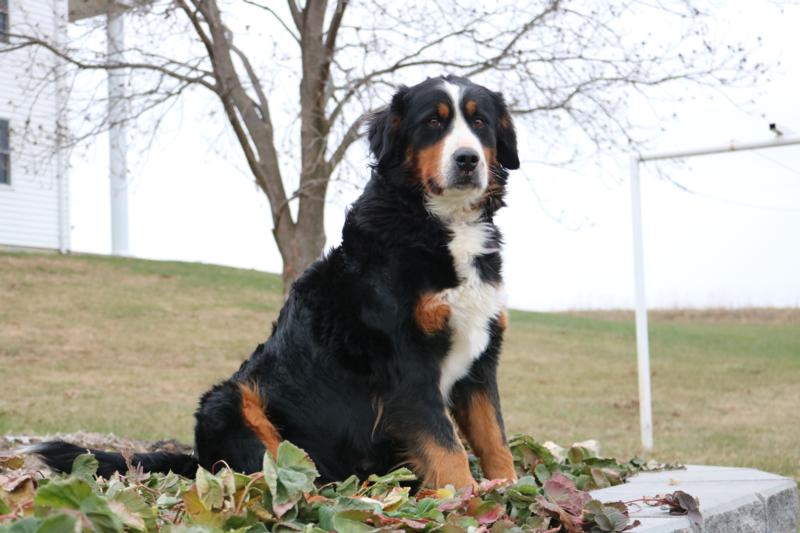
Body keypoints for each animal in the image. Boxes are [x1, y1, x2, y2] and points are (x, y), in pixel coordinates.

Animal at [36, 76, 524, 490]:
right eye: (432, 123)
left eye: (479, 122)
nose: (467, 159)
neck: (437, 225)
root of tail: (197, 459)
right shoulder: (407, 364)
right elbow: (447, 450)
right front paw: (467, 501)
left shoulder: (480, 363)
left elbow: (495, 439)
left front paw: (511, 493)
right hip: (231, 401)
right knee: (272, 475)